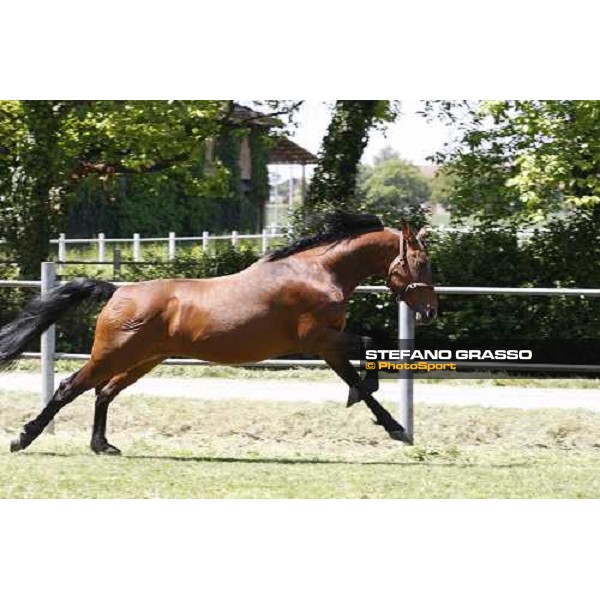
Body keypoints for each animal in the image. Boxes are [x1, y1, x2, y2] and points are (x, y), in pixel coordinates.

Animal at [2, 213, 438, 452]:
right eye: (420, 263)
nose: (430, 312)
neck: (316, 273)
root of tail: (118, 291)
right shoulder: (317, 339)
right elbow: (370, 348)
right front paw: (372, 405)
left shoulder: (328, 346)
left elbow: (357, 375)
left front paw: (394, 427)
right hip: (113, 355)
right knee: (69, 387)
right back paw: (24, 438)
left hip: (143, 360)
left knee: (103, 393)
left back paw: (102, 446)